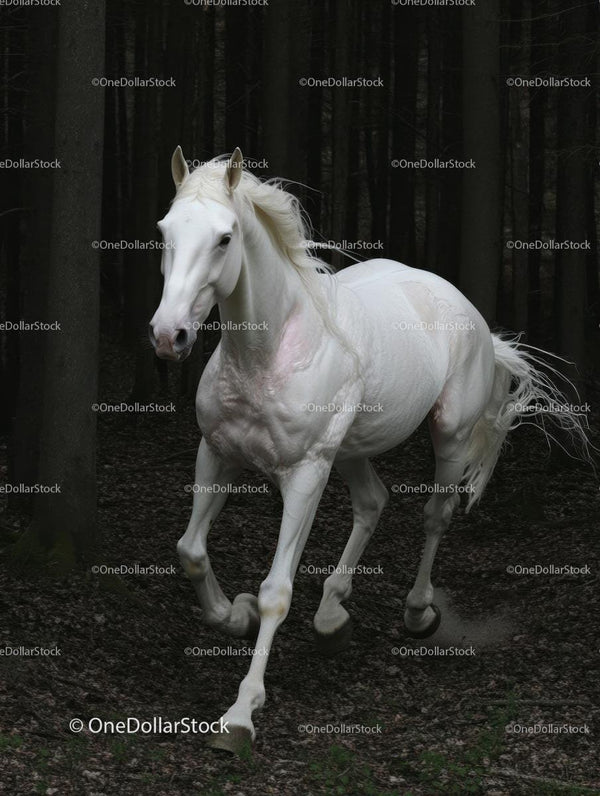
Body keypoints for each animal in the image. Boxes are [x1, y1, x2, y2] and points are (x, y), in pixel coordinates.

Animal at [149, 147, 591, 754]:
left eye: (224, 237)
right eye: (165, 231)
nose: (168, 336)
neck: (266, 352)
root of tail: (468, 312)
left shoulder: (306, 474)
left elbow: (277, 590)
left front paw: (240, 715)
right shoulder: (217, 453)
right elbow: (191, 550)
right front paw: (233, 615)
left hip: (448, 437)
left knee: (435, 514)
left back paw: (417, 613)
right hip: (353, 449)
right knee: (373, 501)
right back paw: (332, 616)